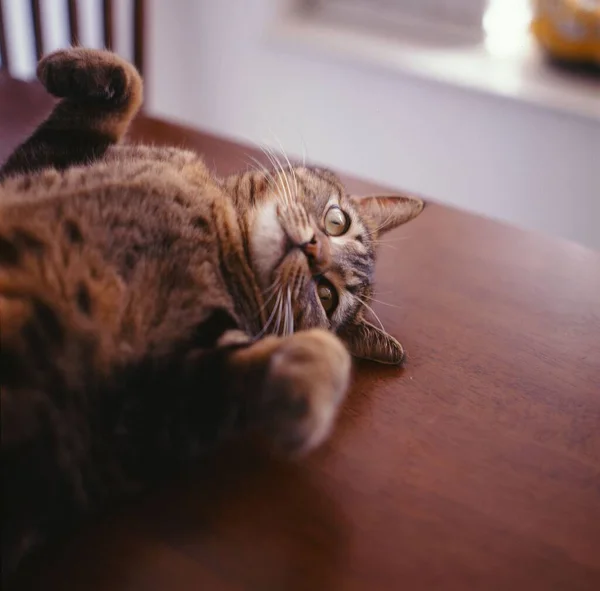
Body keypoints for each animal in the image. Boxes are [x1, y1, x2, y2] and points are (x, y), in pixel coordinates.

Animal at [0, 47, 424, 580]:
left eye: (326, 297)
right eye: (336, 222)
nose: (313, 250)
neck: (222, 227)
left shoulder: (144, 410)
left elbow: (292, 364)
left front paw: (307, 394)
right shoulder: (32, 165)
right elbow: (131, 79)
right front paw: (62, 64)